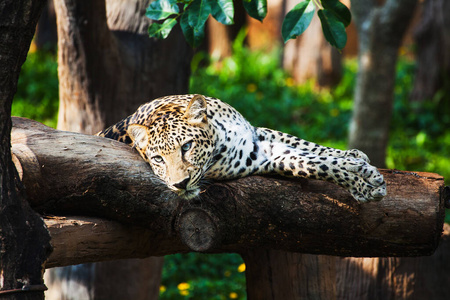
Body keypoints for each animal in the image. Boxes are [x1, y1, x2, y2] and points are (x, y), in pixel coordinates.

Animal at [98, 94, 386, 202]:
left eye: (187, 146)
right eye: (157, 159)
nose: (180, 184)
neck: (220, 134)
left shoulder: (257, 135)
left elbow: (308, 146)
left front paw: (354, 157)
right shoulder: (258, 158)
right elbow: (311, 164)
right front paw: (363, 182)